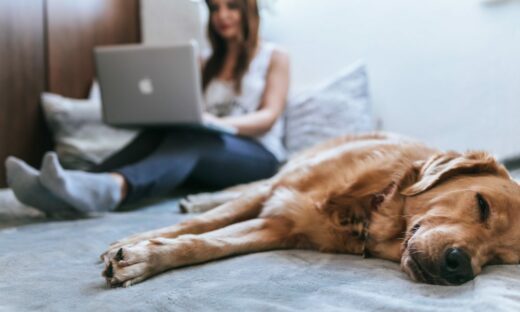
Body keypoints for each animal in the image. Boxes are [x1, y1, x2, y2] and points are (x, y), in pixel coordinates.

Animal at [100, 133, 520, 286]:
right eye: (482, 205)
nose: (460, 266)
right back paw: (198, 197)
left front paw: (143, 258)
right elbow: (207, 222)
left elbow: (206, 243)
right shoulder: (277, 192)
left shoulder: (276, 227)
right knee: (239, 190)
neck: (369, 205)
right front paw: (132, 244)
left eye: (501, 259)